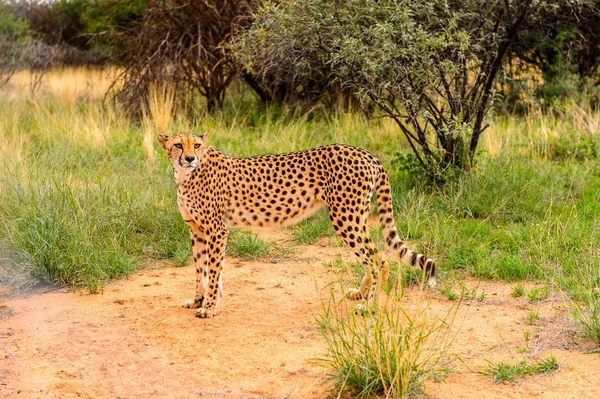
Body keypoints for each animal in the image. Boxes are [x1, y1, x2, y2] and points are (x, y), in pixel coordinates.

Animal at [157, 134, 434, 318]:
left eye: (197, 145)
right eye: (178, 145)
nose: (189, 158)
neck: (186, 176)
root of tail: (365, 152)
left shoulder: (216, 230)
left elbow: (213, 271)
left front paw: (210, 306)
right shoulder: (197, 230)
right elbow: (200, 269)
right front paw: (198, 300)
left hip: (345, 216)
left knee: (380, 260)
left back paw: (370, 306)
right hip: (357, 215)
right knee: (370, 257)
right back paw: (361, 294)